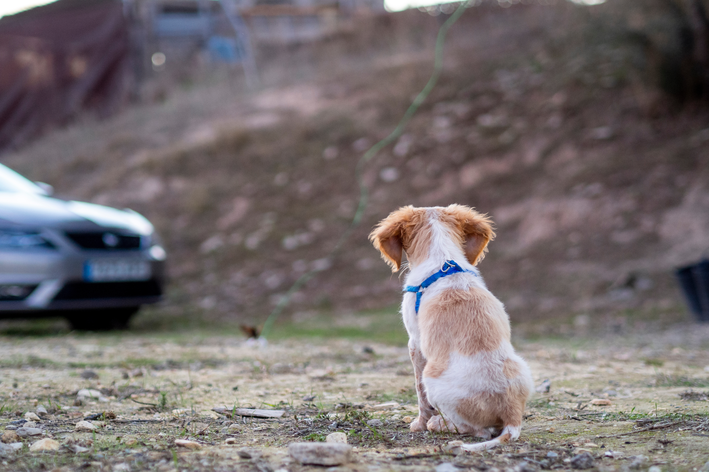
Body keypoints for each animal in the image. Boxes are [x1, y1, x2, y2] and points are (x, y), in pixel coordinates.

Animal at [370, 205, 532, 452]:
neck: (443, 261)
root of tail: (512, 415)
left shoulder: (415, 343)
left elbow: (419, 393)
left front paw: (419, 424)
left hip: (433, 379)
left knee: (478, 430)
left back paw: (437, 423)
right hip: (524, 369)